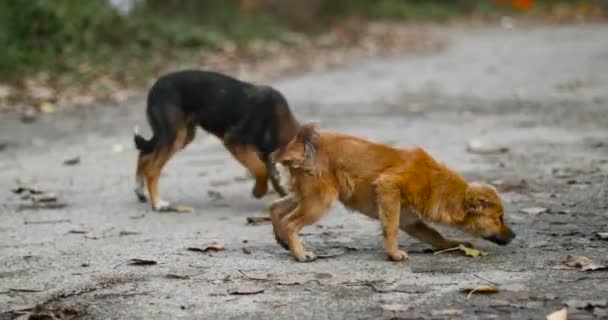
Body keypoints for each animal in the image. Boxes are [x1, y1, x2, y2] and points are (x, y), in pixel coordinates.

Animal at [134, 69, 300, 210]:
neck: (277, 120)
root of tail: (155, 87)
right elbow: (261, 170)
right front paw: (258, 192)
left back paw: (140, 191)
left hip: (183, 135)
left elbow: (273, 178)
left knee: (145, 155)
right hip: (175, 135)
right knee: (152, 170)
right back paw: (158, 204)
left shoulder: (266, 156)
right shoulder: (234, 141)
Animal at [270, 124, 512, 262]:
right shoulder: (389, 188)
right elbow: (391, 228)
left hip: (306, 196)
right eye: (499, 218)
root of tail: (298, 146)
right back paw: (300, 253)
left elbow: (435, 236)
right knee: (291, 222)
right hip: (320, 201)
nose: (515, 235)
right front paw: (394, 254)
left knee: (275, 207)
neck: (436, 184)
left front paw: (454, 244)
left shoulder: (411, 220)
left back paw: (284, 241)